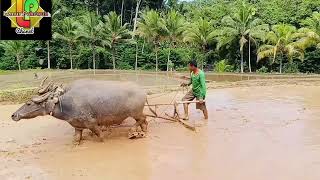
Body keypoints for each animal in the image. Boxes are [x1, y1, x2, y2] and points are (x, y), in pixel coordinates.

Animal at [10, 78, 149, 144]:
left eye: (28, 103)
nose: (13, 115)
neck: (67, 104)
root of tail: (142, 91)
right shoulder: (77, 126)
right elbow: (76, 139)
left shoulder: (92, 124)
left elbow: (101, 137)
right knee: (144, 122)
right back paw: (142, 132)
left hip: (136, 113)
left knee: (143, 119)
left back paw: (133, 131)